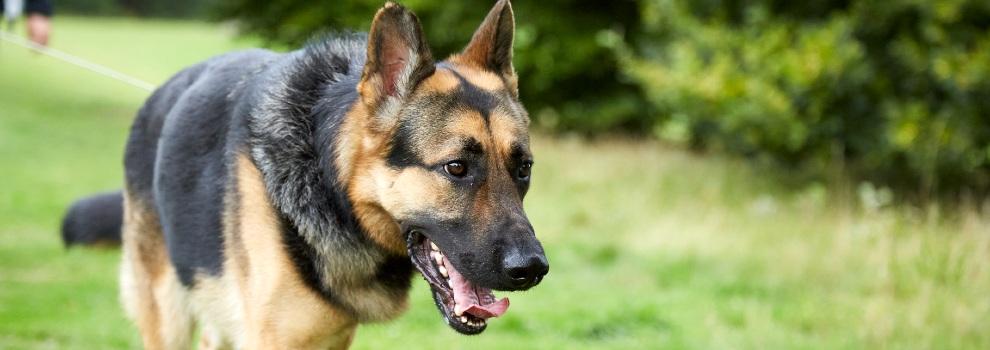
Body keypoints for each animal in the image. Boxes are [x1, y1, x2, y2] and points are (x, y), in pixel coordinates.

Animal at [64, 1, 552, 348]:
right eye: (456, 168)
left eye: (523, 169)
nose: (532, 269)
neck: (329, 186)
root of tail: (161, 93)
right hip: (167, 314)